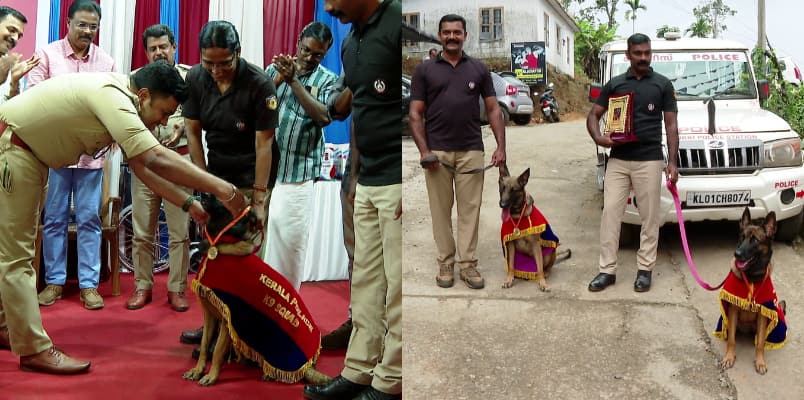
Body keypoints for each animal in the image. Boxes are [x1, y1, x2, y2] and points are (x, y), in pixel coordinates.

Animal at [720, 206, 788, 376]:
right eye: (742, 237)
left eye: (755, 240)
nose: (736, 254)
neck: (751, 278)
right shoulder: (733, 309)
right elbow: (731, 340)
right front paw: (729, 357)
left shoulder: (763, 314)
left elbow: (761, 344)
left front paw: (760, 362)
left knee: (759, 338)